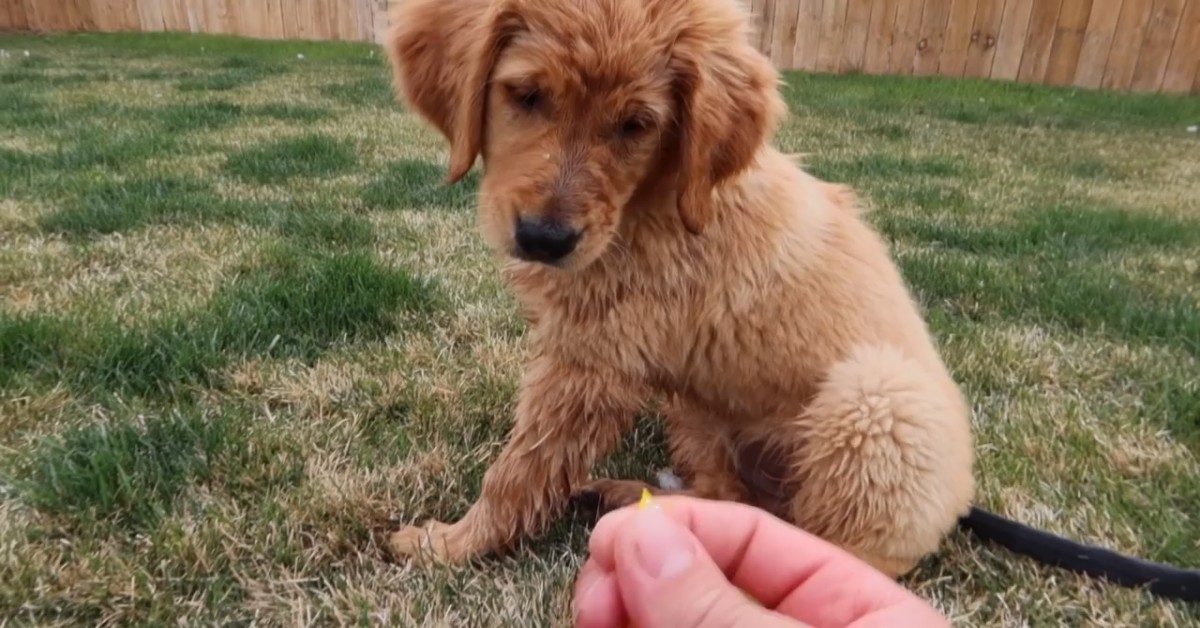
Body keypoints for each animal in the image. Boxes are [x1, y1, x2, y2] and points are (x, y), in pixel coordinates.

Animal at [384, 0, 974, 581]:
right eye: (527, 95)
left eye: (636, 124)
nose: (544, 240)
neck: (649, 201)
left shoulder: (589, 366)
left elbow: (522, 470)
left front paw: (452, 544)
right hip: (696, 407)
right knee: (731, 495)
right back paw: (634, 499)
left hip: (877, 400)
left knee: (830, 547)